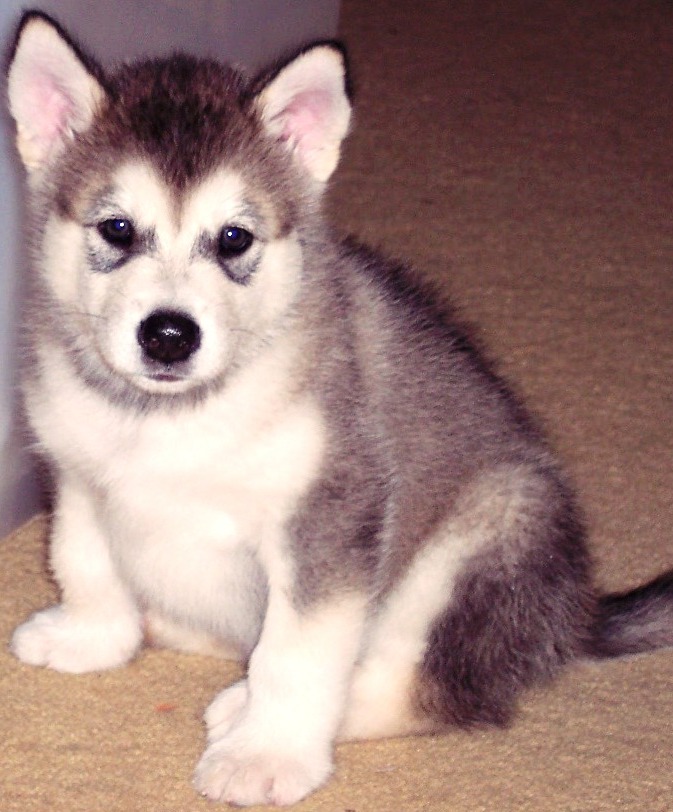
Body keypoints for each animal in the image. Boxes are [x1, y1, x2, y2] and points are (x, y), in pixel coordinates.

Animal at [6, 11, 672, 804]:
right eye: (115, 229)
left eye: (234, 238)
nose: (169, 334)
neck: (166, 422)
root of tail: (570, 619)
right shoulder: (78, 473)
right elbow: (82, 558)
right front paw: (92, 636)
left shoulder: (330, 515)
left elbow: (298, 653)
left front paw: (269, 753)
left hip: (494, 523)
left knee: (431, 686)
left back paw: (252, 708)